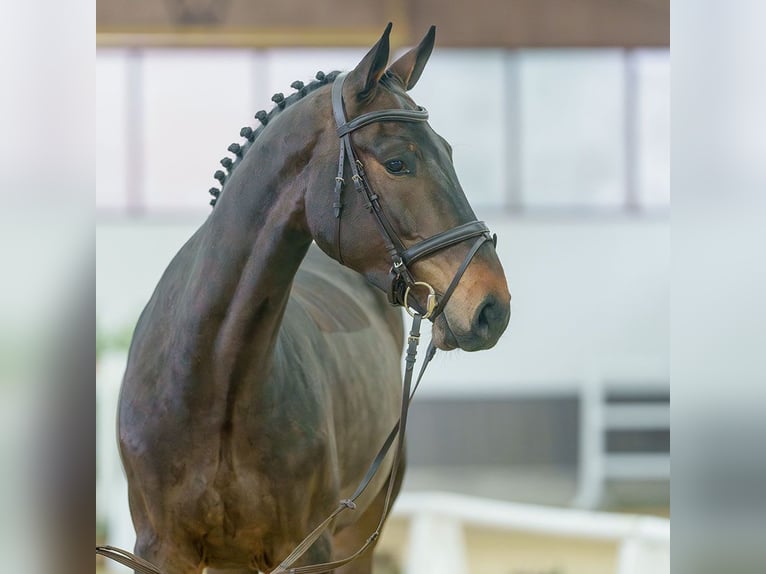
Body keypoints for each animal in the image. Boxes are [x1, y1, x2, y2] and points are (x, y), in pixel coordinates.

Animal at [117, 23, 512, 574]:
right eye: (398, 162)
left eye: (450, 153)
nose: (492, 307)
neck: (214, 380)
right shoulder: (159, 550)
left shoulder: (308, 548)